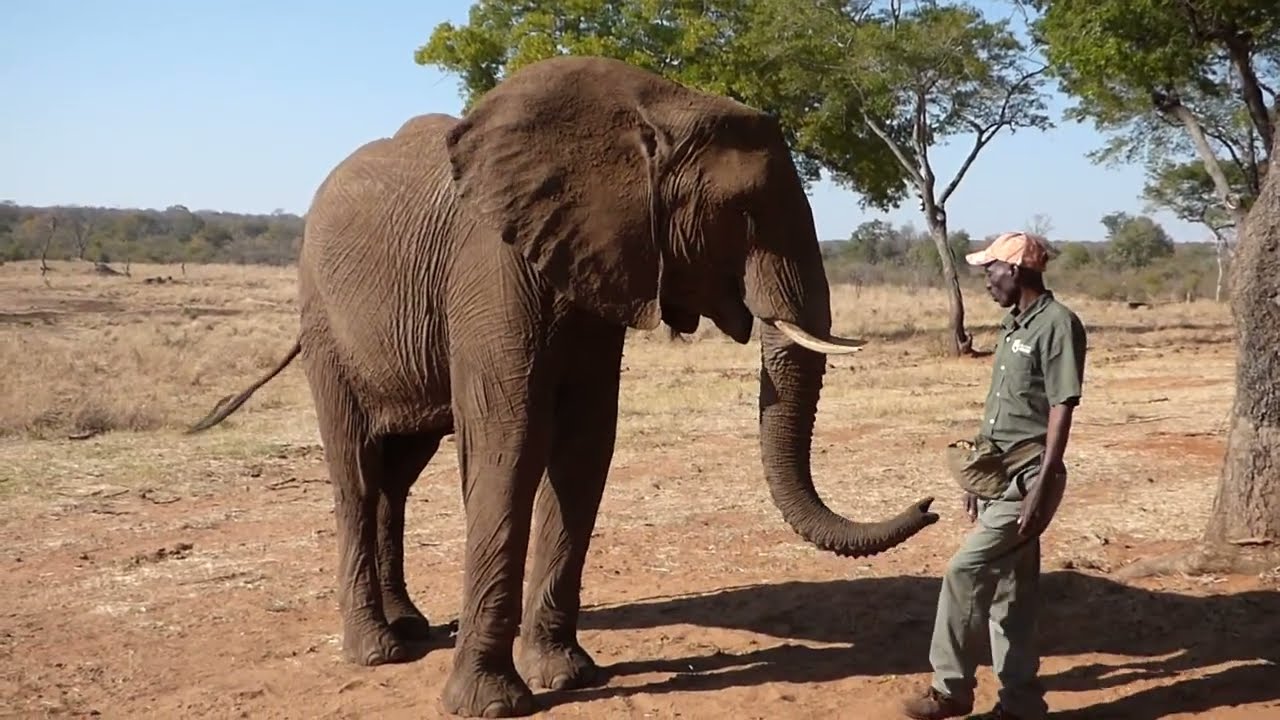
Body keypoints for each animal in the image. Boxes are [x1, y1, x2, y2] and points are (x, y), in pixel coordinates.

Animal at [188, 55, 939, 717]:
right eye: (744, 213)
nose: (932, 503)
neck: (655, 109)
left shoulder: (600, 265)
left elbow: (585, 446)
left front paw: (568, 675)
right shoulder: (491, 264)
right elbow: (511, 442)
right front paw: (493, 704)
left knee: (396, 476)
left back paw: (414, 628)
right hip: (323, 320)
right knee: (355, 472)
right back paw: (377, 652)